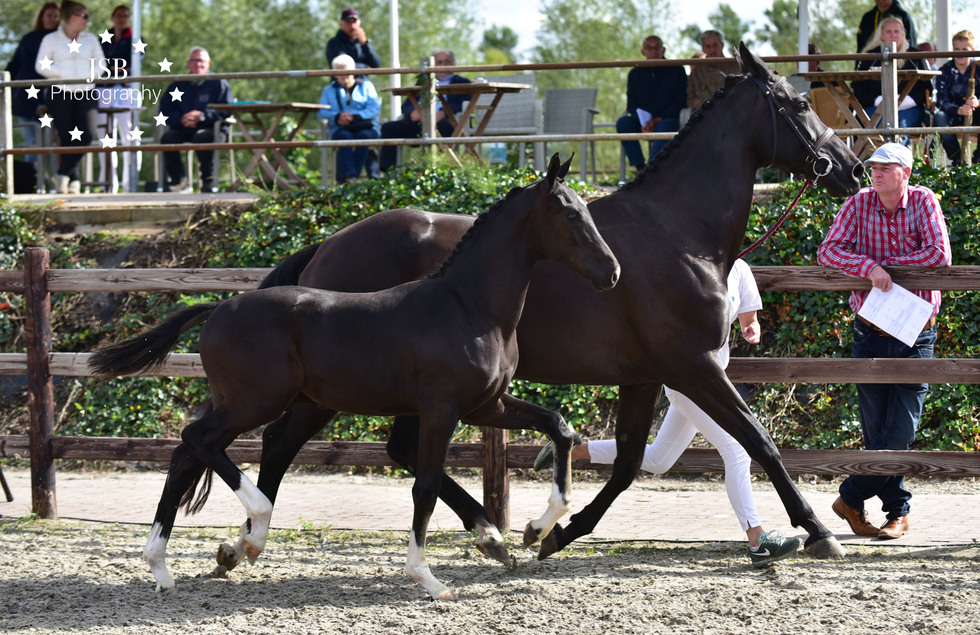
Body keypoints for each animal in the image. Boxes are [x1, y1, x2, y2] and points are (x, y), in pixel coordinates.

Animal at [88, 154, 621, 600]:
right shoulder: (442, 409)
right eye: (571, 215)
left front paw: (535, 529)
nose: (612, 272)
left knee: (188, 456)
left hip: (253, 402)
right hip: (257, 402)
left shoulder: (486, 405)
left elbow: (560, 427)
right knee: (200, 440)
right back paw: (251, 527)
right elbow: (425, 486)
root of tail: (217, 308)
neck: (469, 307)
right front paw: (430, 579)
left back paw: (166, 567)